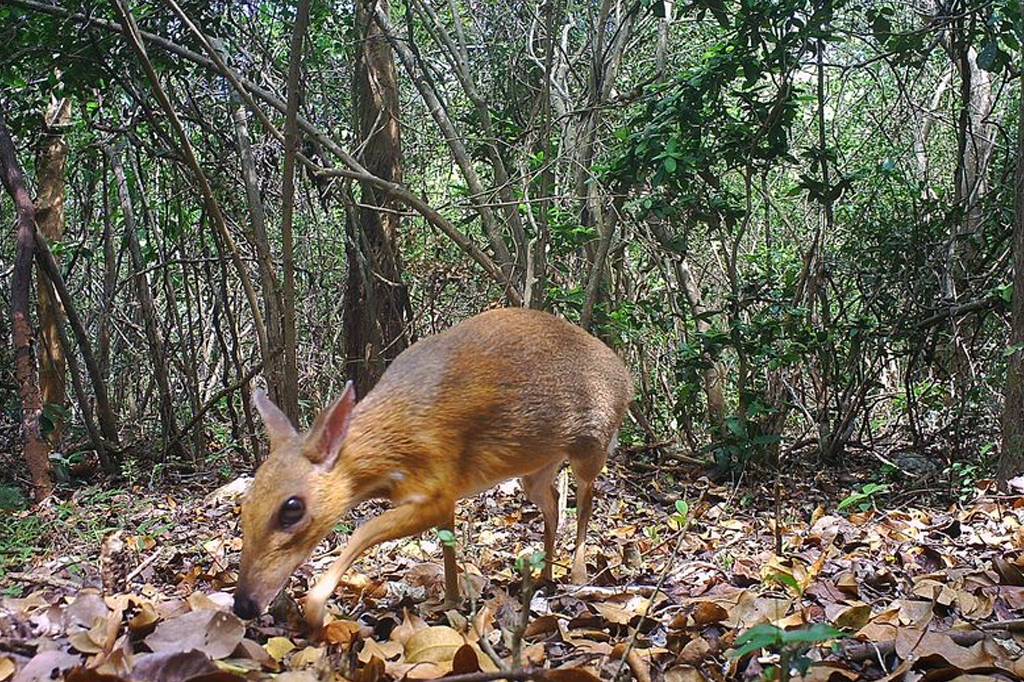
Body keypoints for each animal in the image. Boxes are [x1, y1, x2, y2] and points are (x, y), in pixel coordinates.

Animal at [231, 307, 633, 631]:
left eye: (291, 509)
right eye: (245, 505)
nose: (243, 605)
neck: (395, 441)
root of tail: (625, 375)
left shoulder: (437, 484)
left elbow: (363, 531)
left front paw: (316, 609)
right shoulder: (445, 493)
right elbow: (446, 542)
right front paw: (451, 601)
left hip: (592, 445)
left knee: (585, 502)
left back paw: (577, 575)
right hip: (535, 467)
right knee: (551, 502)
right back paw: (545, 574)